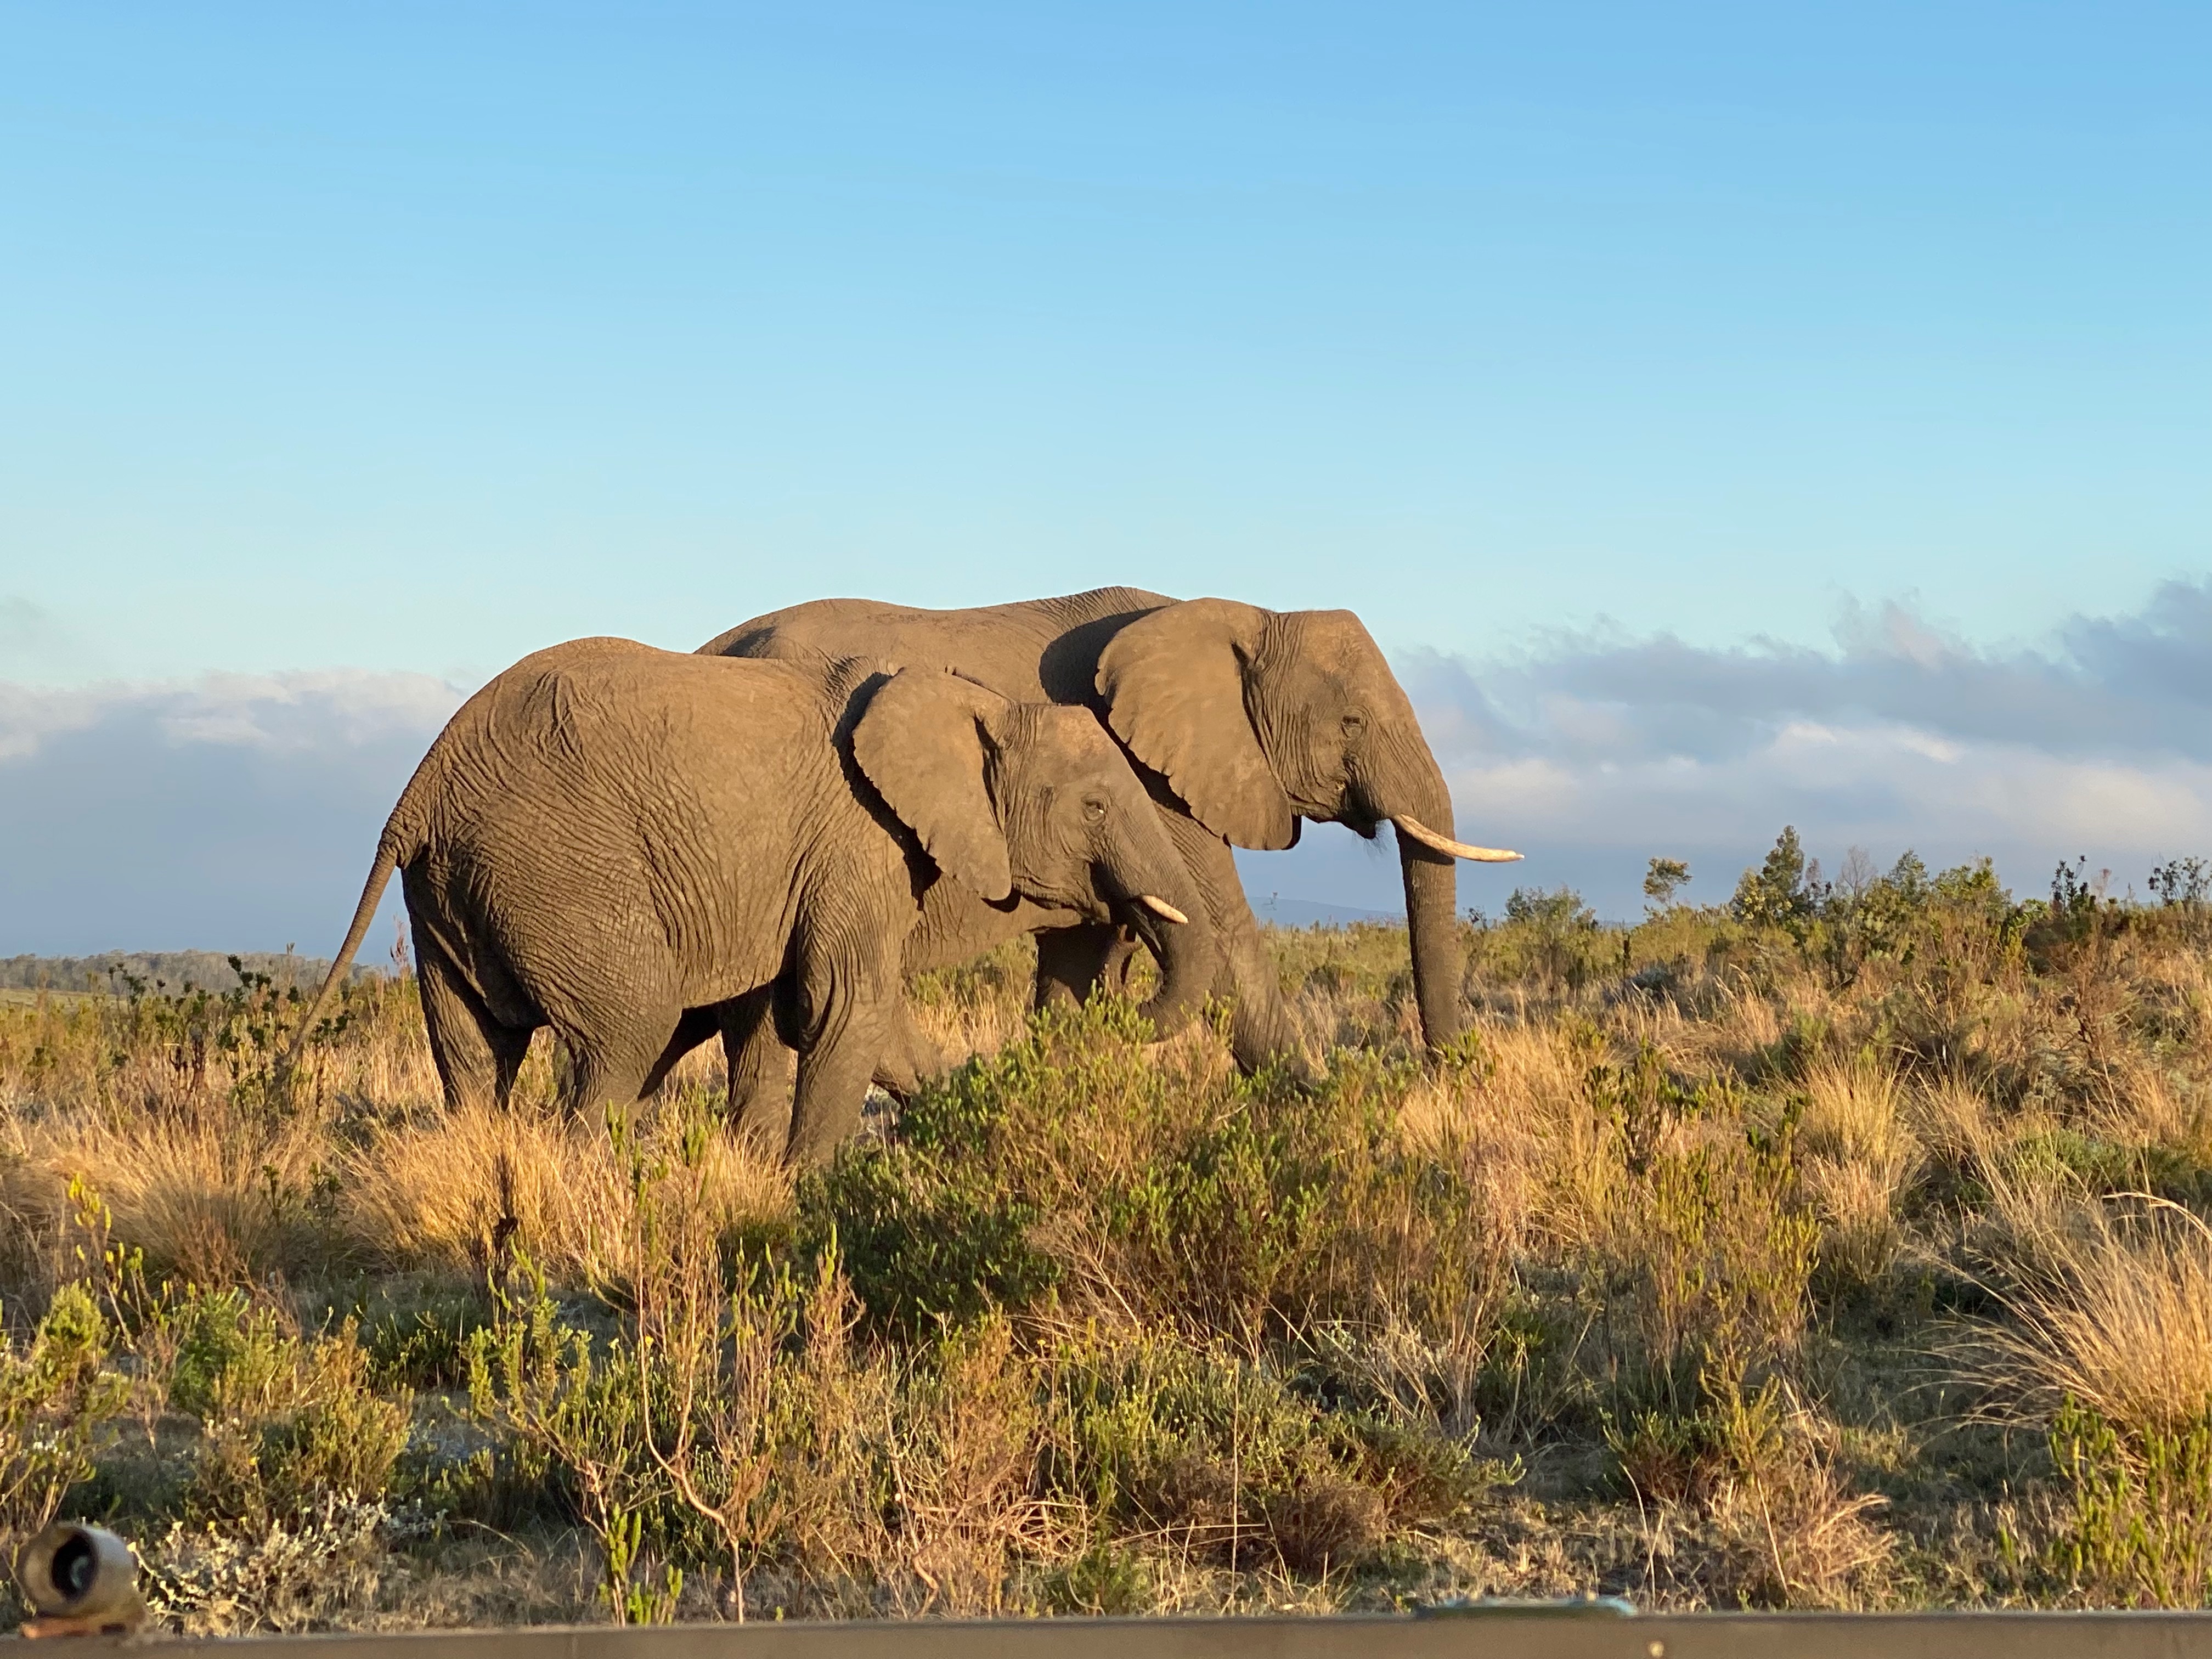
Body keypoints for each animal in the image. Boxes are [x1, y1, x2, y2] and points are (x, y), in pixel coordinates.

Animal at [288, 636, 1211, 1163]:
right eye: (1096, 807)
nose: (1120, 959)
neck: (976, 702)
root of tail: (417, 792)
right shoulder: (857, 840)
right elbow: (845, 1003)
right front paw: (810, 1192)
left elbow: (793, 1017)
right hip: (551, 866)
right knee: (625, 1036)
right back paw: (588, 1189)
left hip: (453, 889)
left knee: (476, 1052)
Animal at [697, 588, 1520, 1092]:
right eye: (1350, 724)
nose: (1443, 1071)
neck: (1239, 615)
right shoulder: (1153, 781)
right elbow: (1223, 930)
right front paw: (1317, 1109)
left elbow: (1079, 959)